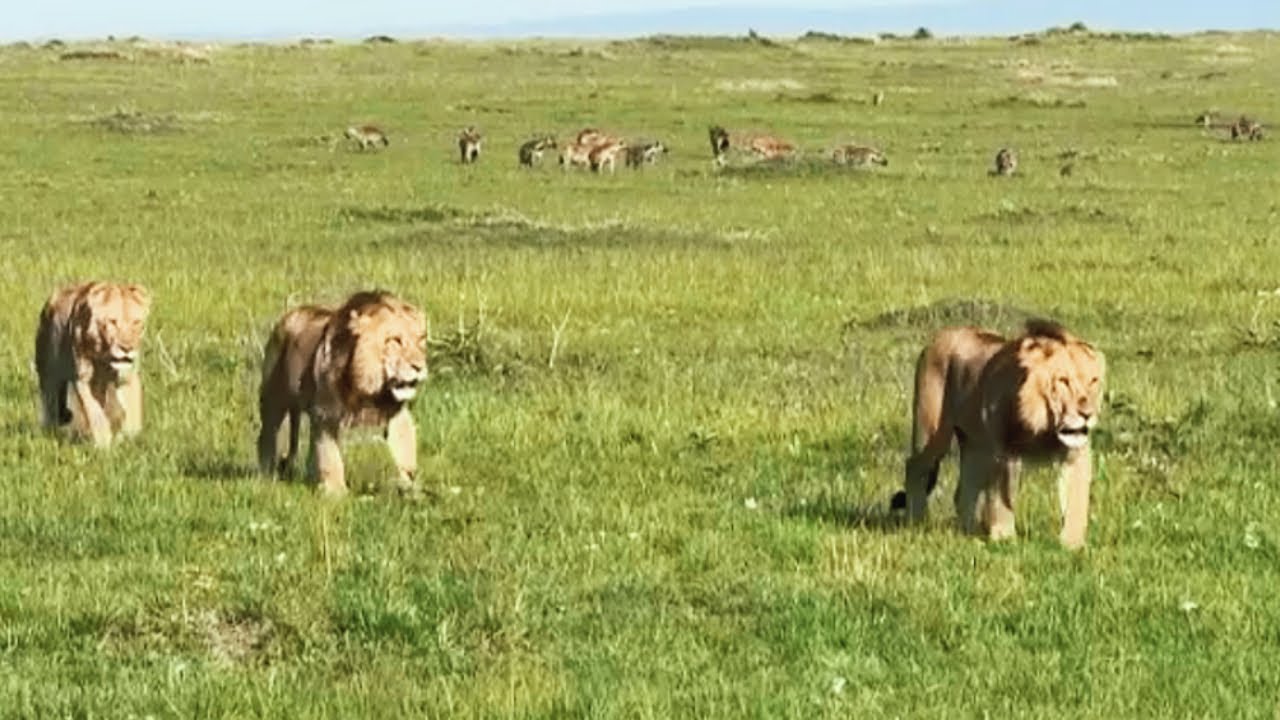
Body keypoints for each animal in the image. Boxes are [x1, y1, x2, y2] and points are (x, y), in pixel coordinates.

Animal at [34, 281, 152, 447]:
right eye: (113, 322)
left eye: (136, 322)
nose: (127, 348)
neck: (104, 356)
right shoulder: (83, 379)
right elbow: (95, 413)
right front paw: (104, 444)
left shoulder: (127, 377)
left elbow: (133, 415)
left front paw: (127, 438)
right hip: (48, 372)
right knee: (50, 404)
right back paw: (50, 432)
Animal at [257, 290, 428, 497]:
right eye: (395, 340)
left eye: (421, 340)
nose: (419, 367)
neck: (370, 389)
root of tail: (289, 314)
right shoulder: (326, 414)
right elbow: (330, 455)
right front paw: (335, 493)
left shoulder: (397, 414)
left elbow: (405, 451)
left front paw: (411, 489)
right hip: (273, 398)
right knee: (267, 434)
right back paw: (267, 475)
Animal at [891, 320, 1104, 549]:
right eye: (1063, 381)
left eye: (1093, 381)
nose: (1087, 414)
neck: (1045, 426)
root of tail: (940, 336)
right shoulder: (1004, 453)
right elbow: (1002, 499)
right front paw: (1004, 538)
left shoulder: (1076, 455)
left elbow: (1076, 502)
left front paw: (1072, 545)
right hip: (933, 434)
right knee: (915, 467)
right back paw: (917, 520)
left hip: (975, 446)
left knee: (963, 491)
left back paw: (970, 531)